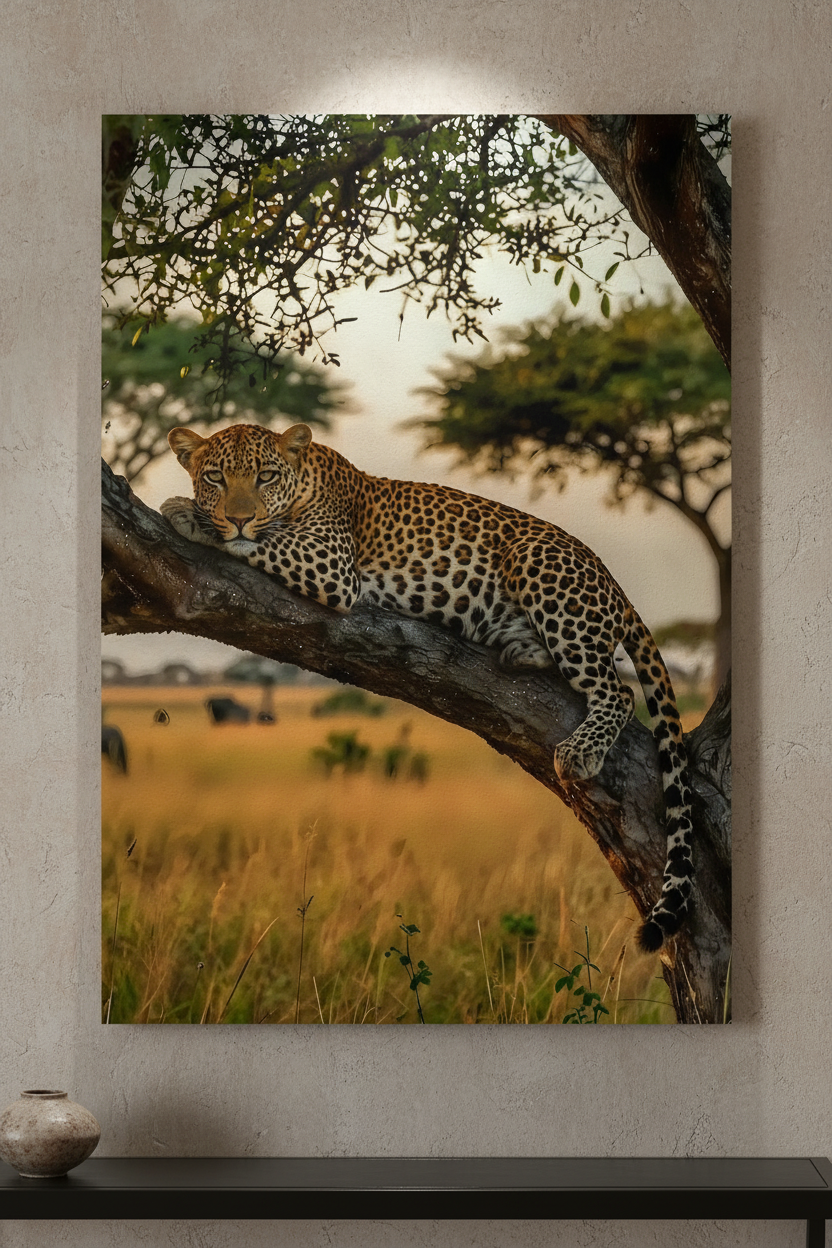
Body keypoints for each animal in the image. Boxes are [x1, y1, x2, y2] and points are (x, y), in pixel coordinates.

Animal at [161, 421, 694, 952]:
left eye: (266, 477)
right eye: (214, 477)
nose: (238, 518)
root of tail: (616, 585)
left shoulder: (331, 563)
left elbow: (263, 543)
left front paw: (187, 515)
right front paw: (201, 514)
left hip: (538, 563)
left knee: (619, 691)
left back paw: (580, 750)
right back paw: (521, 651)